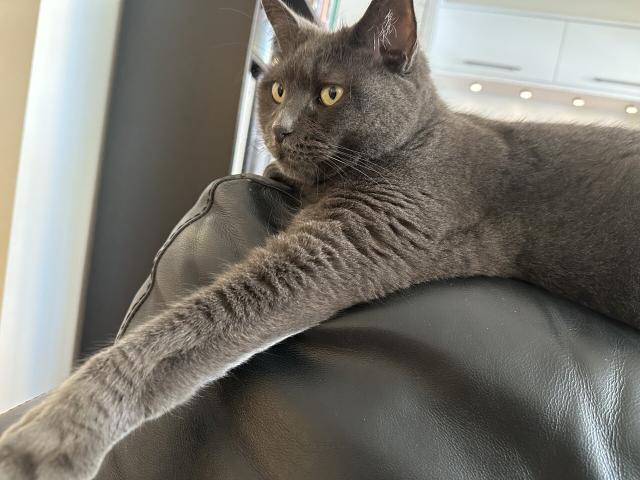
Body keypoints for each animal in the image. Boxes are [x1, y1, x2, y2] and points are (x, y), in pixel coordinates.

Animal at [1, 0, 640, 478]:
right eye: (278, 91)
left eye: (331, 94)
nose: (280, 130)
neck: (417, 140)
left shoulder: (360, 234)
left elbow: (197, 323)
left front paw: (51, 432)